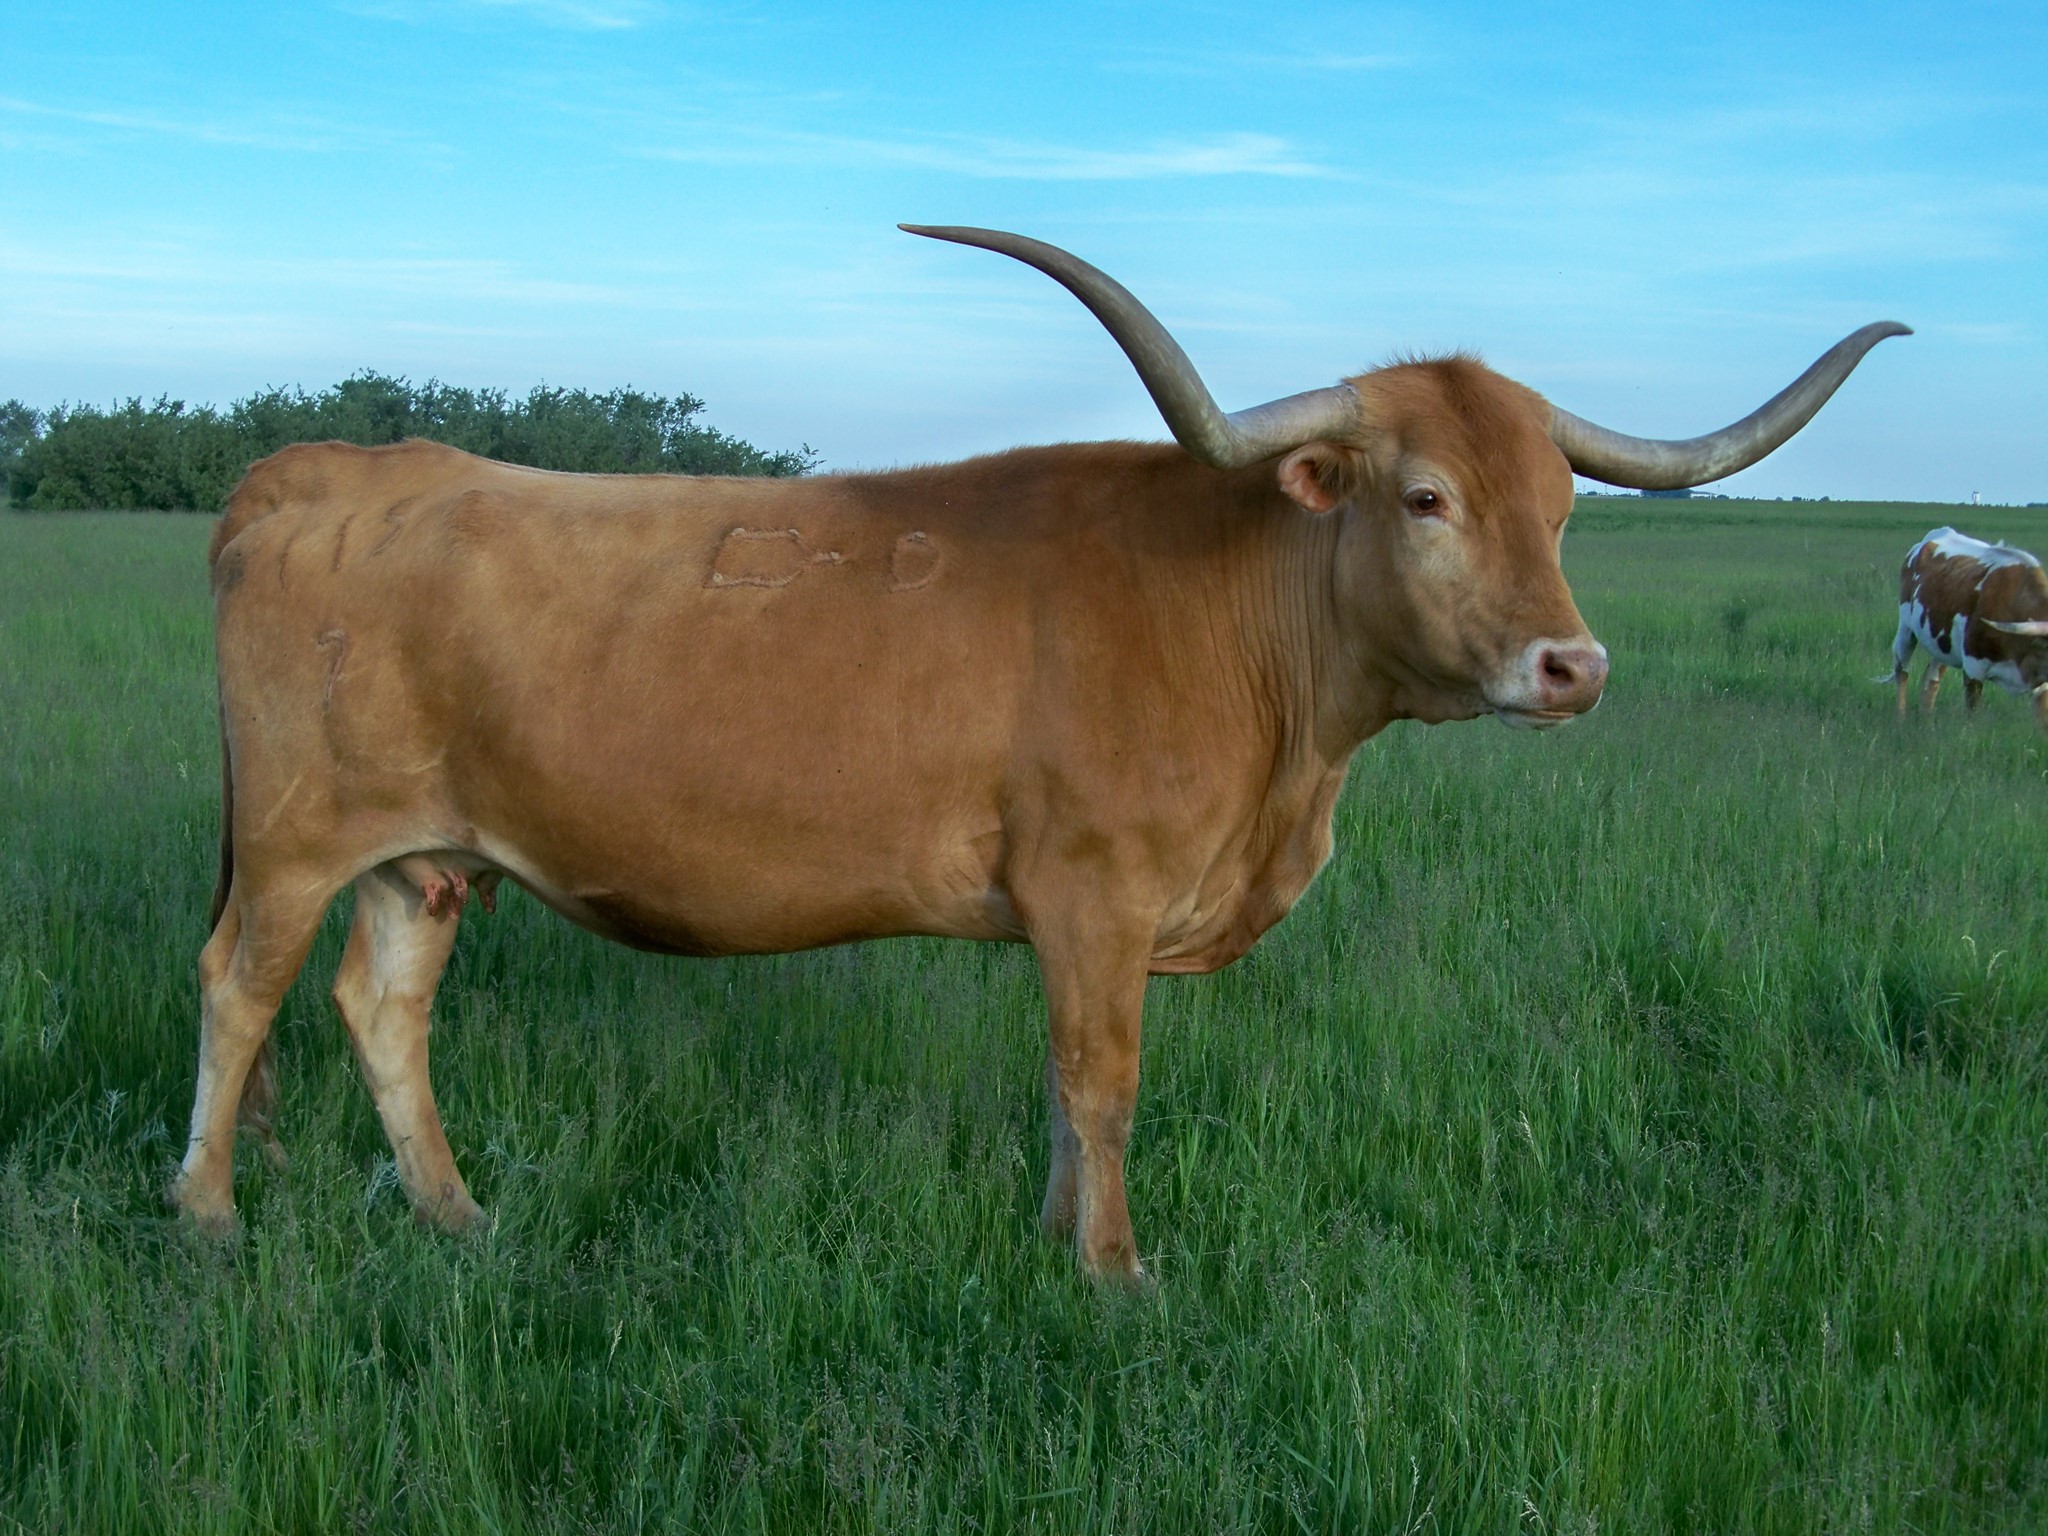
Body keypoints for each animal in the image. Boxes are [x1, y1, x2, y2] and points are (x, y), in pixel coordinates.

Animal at [173, 225, 1906, 1284]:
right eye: (1424, 496)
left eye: (1561, 505)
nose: (1574, 666)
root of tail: (323, 465)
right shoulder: (1095, 892)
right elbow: (1104, 1082)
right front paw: (1118, 1271)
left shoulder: (1090, 919)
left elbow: (1067, 1096)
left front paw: (1060, 1242)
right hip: (300, 837)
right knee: (241, 988)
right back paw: (206, 1216)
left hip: (422, 852)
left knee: (380, 1005)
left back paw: (458, 1216)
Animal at [1893, 527, 2048, 730]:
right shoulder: (1974, 668)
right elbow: (1973, 715)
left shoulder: (2041, 685)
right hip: (1906, 629)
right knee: (1902, 671)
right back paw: (1900, 719)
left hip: (1942, 643)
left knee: (1931, 680)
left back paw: (1927, 722)